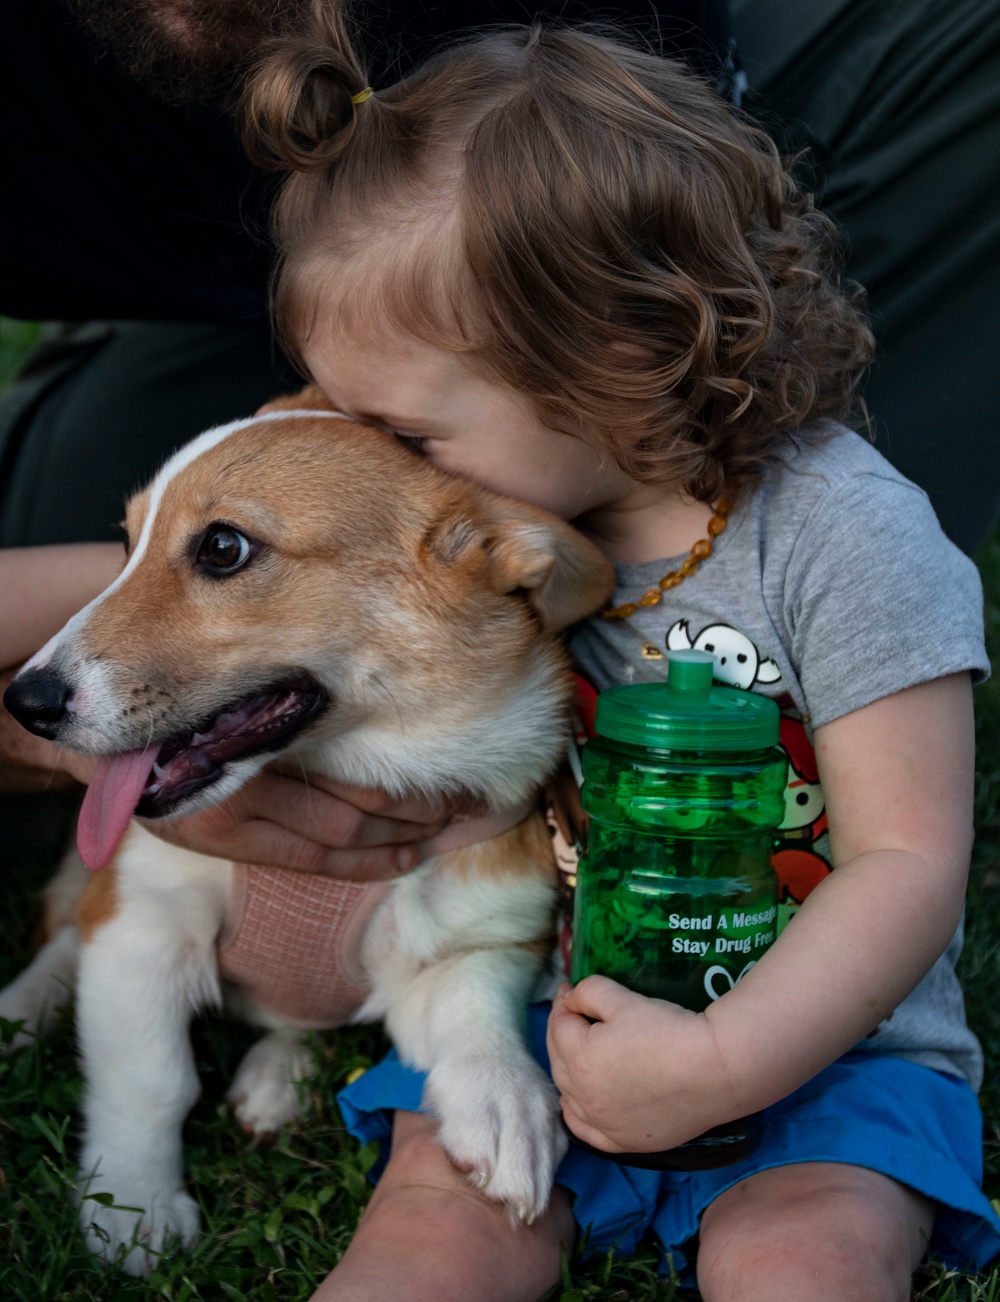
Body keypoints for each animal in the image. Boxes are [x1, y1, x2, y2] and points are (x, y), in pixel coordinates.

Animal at [1, 390, 609, 1275]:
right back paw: (19, 1013)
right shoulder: (143, 920)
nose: (25, 704)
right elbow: (151, 1079)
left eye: (223, 547)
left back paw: (275, 1077)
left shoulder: (471, 942)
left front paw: (508, 1106)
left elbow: (477, 1015)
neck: (361, 760)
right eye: (125, 542)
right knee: (62, 940)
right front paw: (134, 1209)